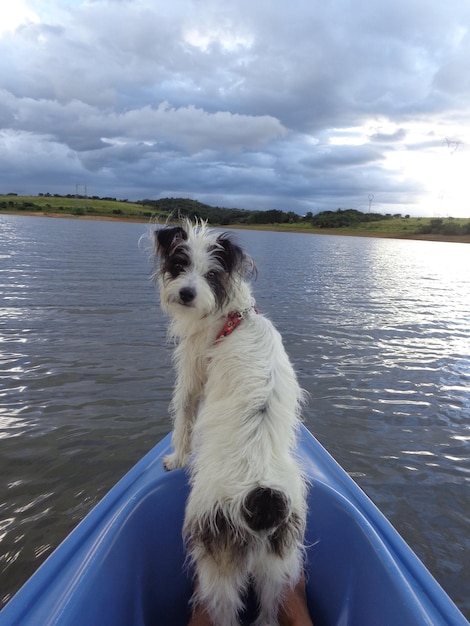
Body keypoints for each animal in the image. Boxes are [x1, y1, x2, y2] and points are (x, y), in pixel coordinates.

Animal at [155, 219, 308, 624]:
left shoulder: (192, 374)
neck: (232, 317)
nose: (187, 294)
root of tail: (261, 494)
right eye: (180, 265)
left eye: (211, 274)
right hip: (276, 566)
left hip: (218, 568)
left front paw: (176, 460)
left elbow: (184, 418)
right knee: (269, 612)